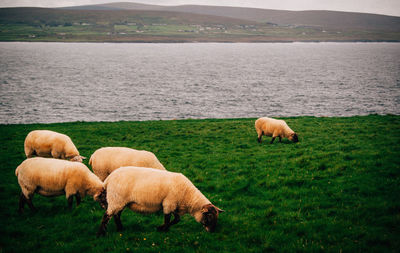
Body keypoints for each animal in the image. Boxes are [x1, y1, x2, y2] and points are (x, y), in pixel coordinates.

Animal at [95, 166, 223, 235]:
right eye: (209, 216)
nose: (212, 231)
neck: (187, 196)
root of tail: (108, 179)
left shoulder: (174, 205)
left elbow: (176, 219)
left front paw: (161, 228)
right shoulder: (168, 203)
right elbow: (167, 219)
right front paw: (163, 229)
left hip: (120, 201)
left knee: (116, 215)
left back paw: (120, 229)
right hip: (116, 199)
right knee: (107, 216)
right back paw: (101, 233)